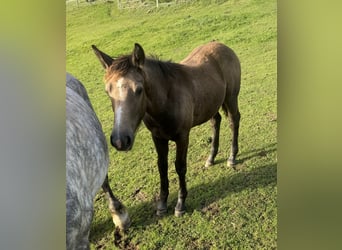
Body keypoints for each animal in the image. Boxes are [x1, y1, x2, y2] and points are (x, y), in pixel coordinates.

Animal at [91, 41, 240, 217]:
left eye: (139, 89)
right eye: (108, 91)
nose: (120, 140)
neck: (167, 100)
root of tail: (223, 46)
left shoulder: (183, 137)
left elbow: (180, 167)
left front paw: (180, 204)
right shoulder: (158, 137)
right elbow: (162, 167)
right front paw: (162, 204)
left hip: (231, 98)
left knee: (234, 121)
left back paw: (232, 157)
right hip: (211, 103)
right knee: (216, 121)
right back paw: (211, 158)